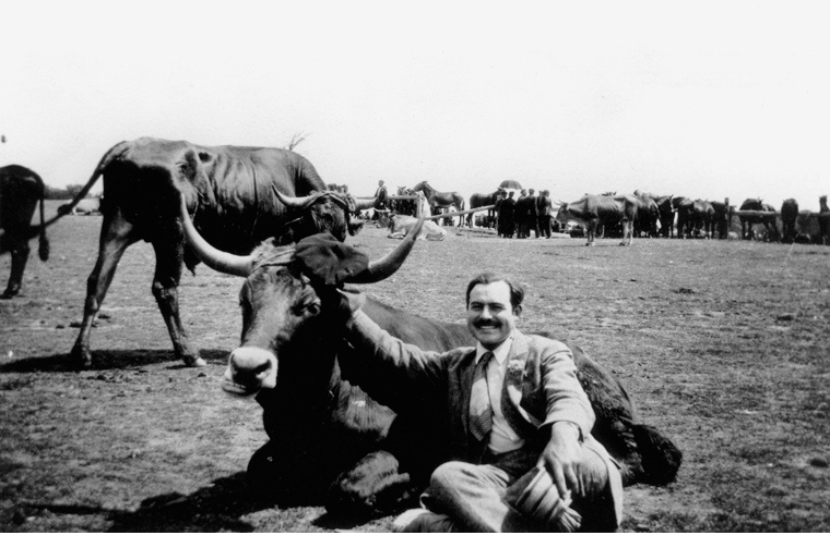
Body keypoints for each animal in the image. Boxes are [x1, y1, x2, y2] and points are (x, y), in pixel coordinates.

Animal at [182, 194, 684, 516]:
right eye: (244, 300)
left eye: (309, 306)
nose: (248, 368)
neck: (321, 397)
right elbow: (257, 468)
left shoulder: (408, 446)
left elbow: (347, 488)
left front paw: (406, 492)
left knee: (630, 458)